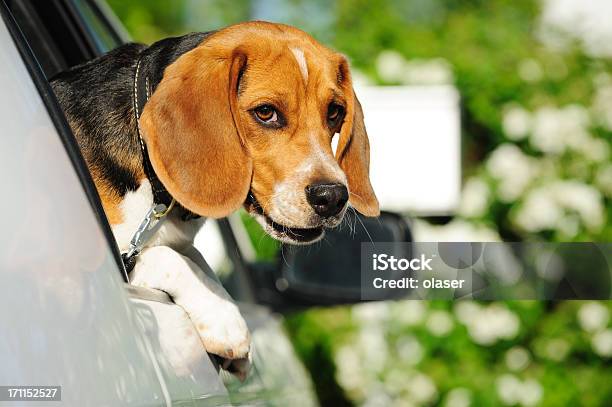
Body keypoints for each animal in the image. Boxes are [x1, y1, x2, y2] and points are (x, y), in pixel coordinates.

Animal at [50, 22, 378, 380]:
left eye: (334, 112)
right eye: (266, 112)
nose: (332, 197)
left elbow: (197, 260)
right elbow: (173, 259)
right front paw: (224, 320)